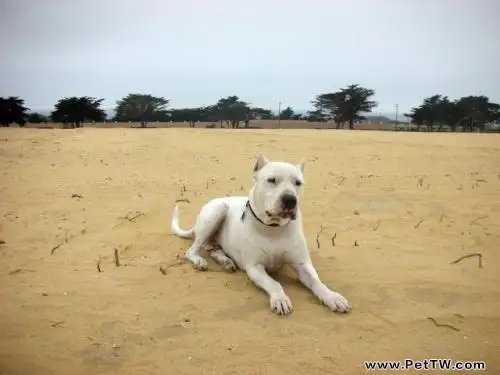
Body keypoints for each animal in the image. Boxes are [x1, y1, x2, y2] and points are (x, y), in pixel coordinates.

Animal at [172, 154, 352, 316]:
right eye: (271, 180)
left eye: (298, 183)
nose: (290, 200)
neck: (274, 228)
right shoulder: (255, 267)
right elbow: (274, 283)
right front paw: (280, 299)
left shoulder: (302, 264)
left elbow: (316, 282)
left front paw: (333, 297)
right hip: (217, 210)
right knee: (192, 249)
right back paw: (199, 260)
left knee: (213, 248)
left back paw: (226, 261)